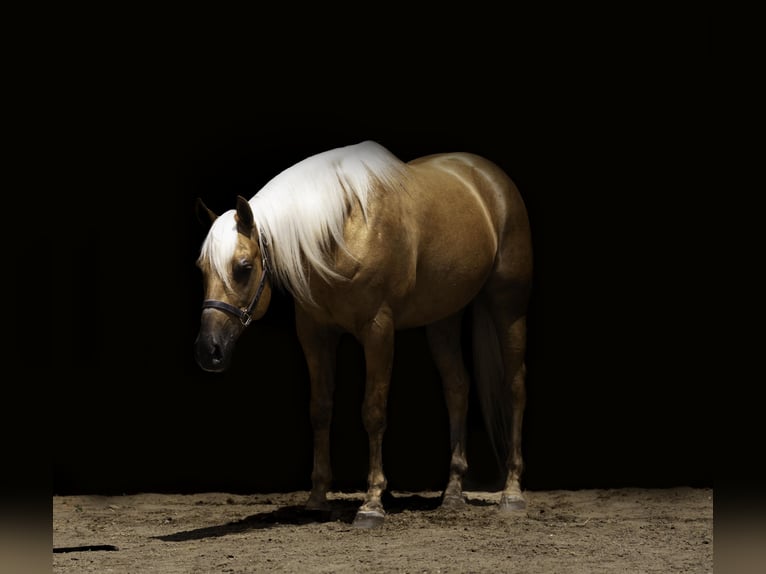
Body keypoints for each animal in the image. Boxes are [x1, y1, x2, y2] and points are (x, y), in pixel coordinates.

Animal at [194, 140, 533, 528]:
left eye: (244, 267)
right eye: (202, 268)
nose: (208, 351)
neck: (340, 230)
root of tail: (490, 178)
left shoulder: (378, 330)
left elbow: (373, 411)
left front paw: (371, 504)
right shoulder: (315, 333)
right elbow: (320, 409)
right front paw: (317, 499)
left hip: (508, 305)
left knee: (514, 386)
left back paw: (512, 494)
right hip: (444, 317)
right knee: (457, 388)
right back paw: (452, 493)